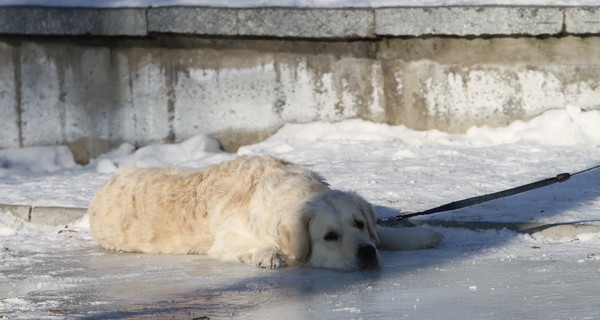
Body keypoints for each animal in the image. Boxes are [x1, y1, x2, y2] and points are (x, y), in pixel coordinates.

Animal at [89, 155, 446, 270]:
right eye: (330, 236)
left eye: (358, 223)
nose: (367, 254)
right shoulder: (225, 239)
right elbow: (248, 246)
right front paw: (267, 255)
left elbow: (383, 231)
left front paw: (423, 234)